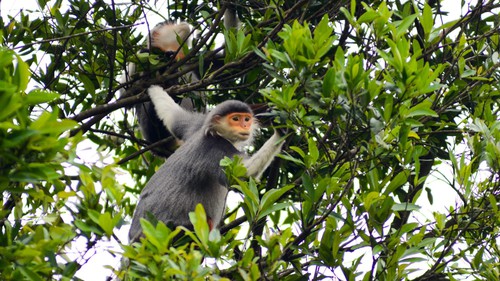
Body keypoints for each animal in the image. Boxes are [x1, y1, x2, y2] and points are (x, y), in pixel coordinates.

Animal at [128, 85, 286, 241]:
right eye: (235, 119)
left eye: (247, 119)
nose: (245, 126)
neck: (217, 133)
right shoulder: (216, 149)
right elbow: (245, 172)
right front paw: (280, 131)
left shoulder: (195, 128)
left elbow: (173, 116)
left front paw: (153, 88)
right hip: (172, 229)